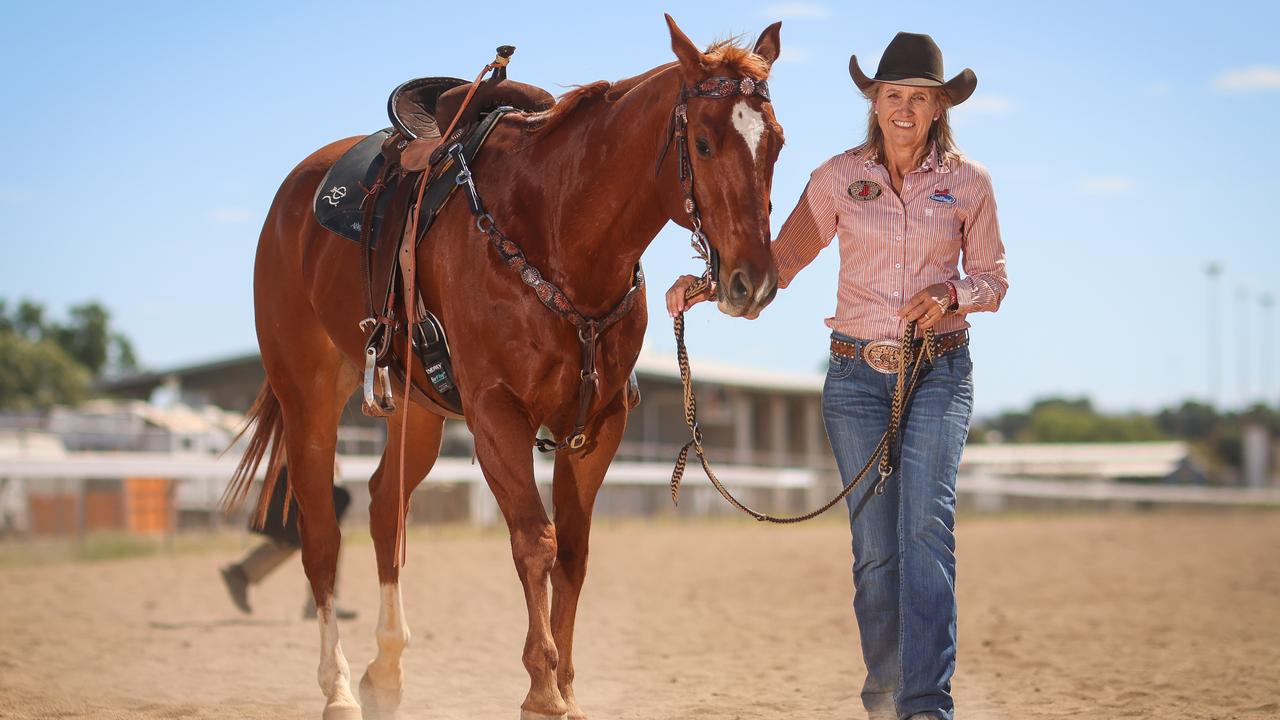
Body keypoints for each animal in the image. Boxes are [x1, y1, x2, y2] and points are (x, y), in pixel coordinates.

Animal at [232, 16, 778, 717]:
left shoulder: (598, 425)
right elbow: (534, 540)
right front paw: (542, 690)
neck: (558, 228)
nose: (752, 282)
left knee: (385, 508)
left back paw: (387, 673)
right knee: (321, 531)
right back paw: (340, 689)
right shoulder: (496, 415)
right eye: (704, 143)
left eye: (777, 143)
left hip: (418, 413)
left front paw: (566, 689)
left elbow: (573, 551)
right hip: (308, 397)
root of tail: (297, 193)